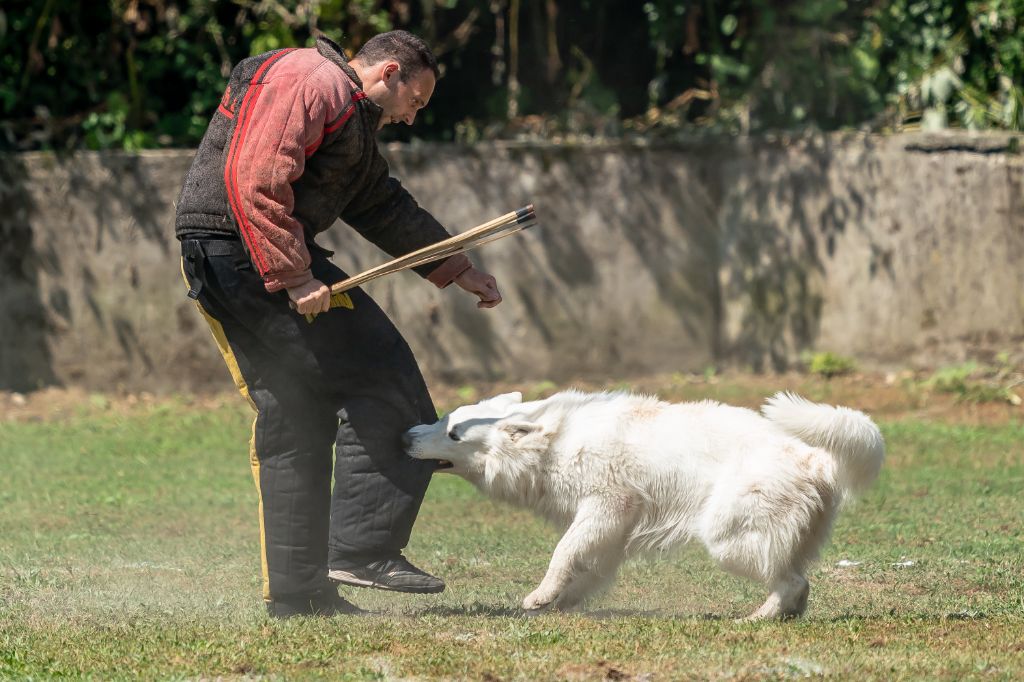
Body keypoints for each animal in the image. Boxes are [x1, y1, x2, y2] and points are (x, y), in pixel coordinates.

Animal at [403, 387, 884, 614]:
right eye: (447, 420)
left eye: (454, 435)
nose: (406, 436)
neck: (554, 443)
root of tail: (814, 457)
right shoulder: (610, 529)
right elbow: (583, 566)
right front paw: (562, 603)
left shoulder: (605, 506)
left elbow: (562, 552)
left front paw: (540, 596)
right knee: (798, 582)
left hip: (727, 539)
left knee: (792, 582)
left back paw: (758, 619)